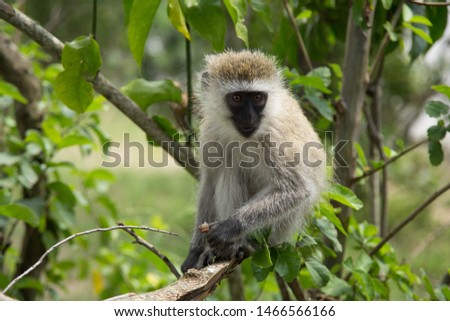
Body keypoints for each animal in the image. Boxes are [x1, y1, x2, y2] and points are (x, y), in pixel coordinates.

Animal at [181, 50, 326, 272]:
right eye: (237, 98)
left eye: (258, 97)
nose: (249, 117)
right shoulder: (211, 130)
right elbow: (209, 182)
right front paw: (195, 250)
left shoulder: (274, 138)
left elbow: (297, 189)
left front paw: (229, 228)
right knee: (228, 171)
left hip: (276, 231)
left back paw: (239, 244)